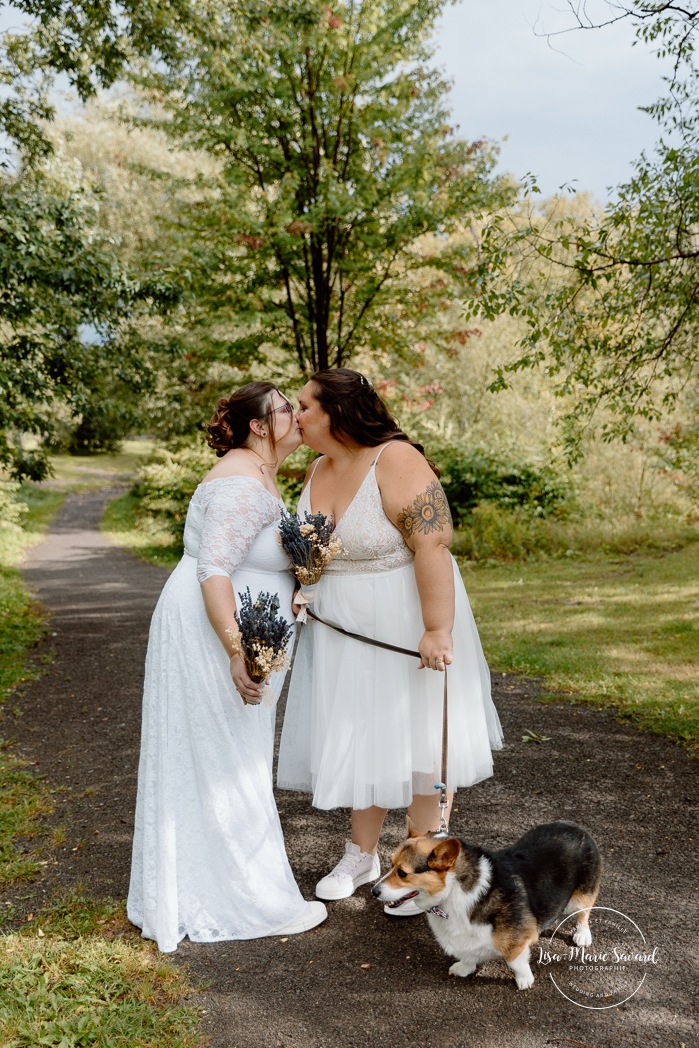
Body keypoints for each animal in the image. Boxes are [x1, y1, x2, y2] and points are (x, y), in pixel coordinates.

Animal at [370, 817, 603, 989]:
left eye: (402, 873)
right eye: (390, 864)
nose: (374, 891)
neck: (452, 891)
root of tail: (575, 826)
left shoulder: (516, 940)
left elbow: (515, 960)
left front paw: (524, 980)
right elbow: (468, 954)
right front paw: (464, 968)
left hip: (581, 897)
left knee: (583, 914)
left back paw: (582, 935)